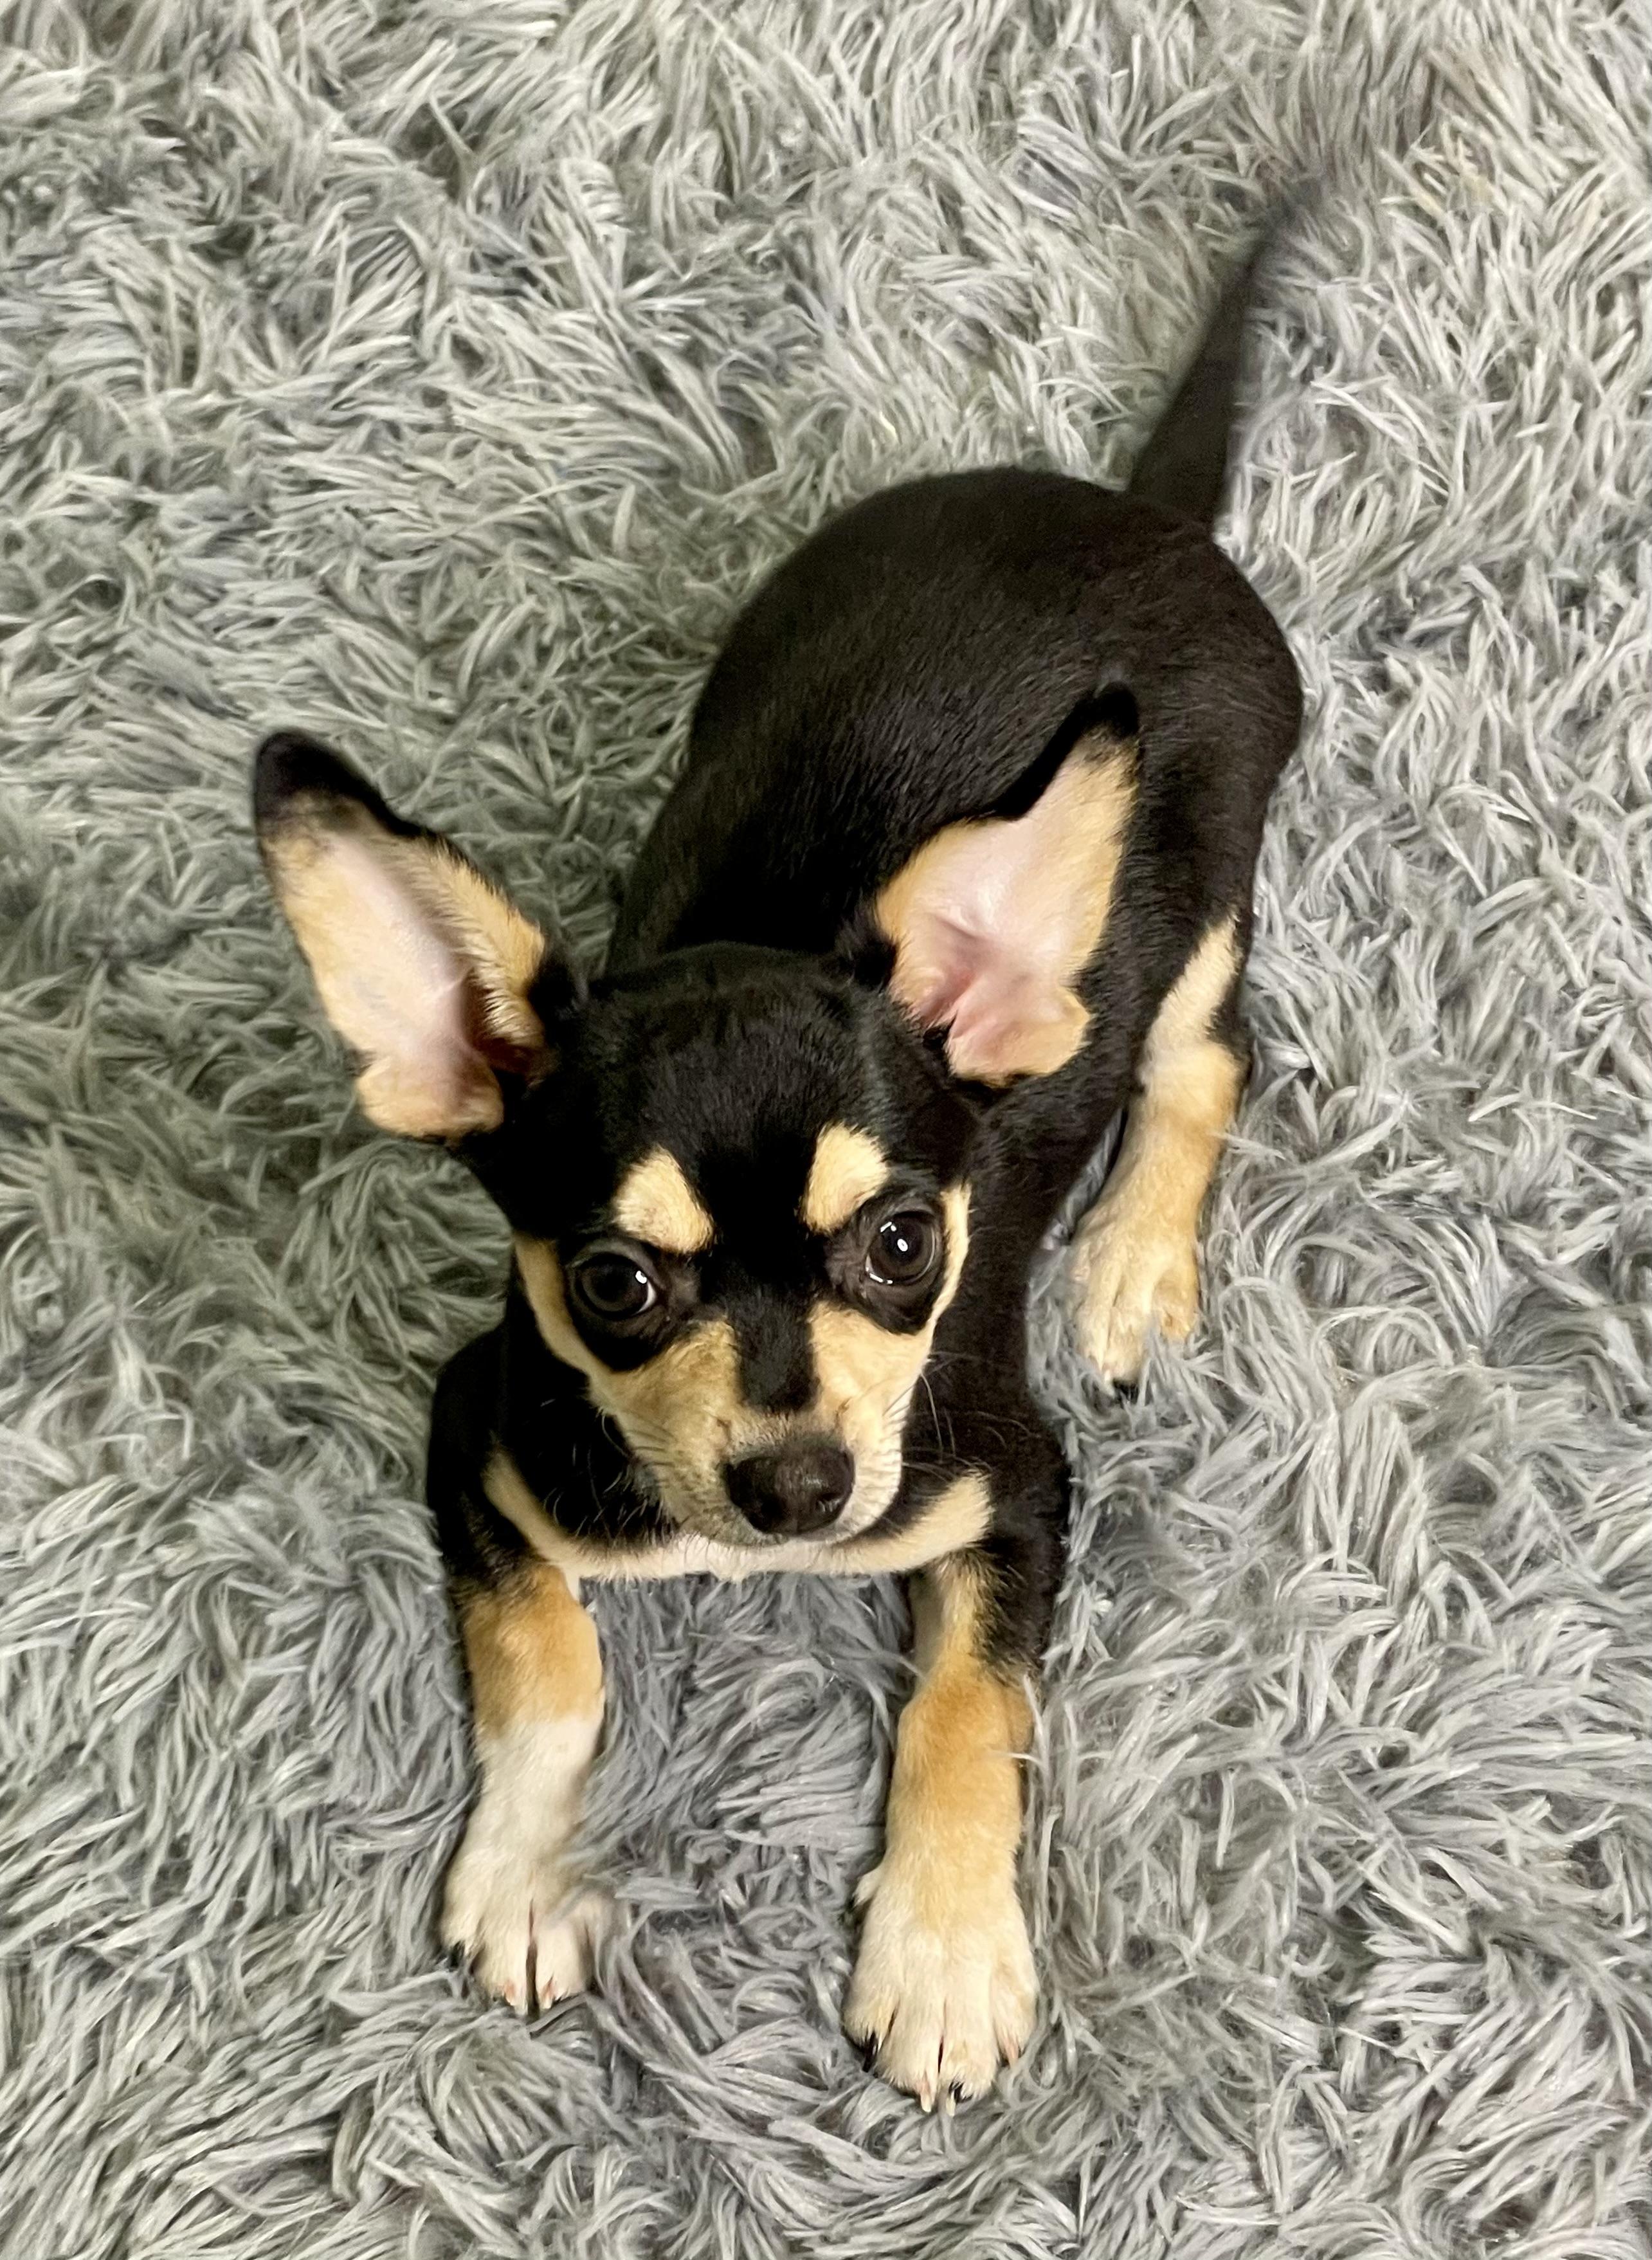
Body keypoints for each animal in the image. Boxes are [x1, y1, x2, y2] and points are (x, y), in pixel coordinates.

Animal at [252, 231, 1301, 2111]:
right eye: (613, 1283)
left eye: (903, 1246)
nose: (801, 1491)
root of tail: (1126, 508)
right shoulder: (479, 1435)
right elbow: (551, 1667)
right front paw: (526, 1873)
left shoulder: (1020, 1490)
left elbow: (969, 1708)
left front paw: (946, 1953)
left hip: (1194, 909)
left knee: (1200, 1054)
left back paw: (1126, 1257)